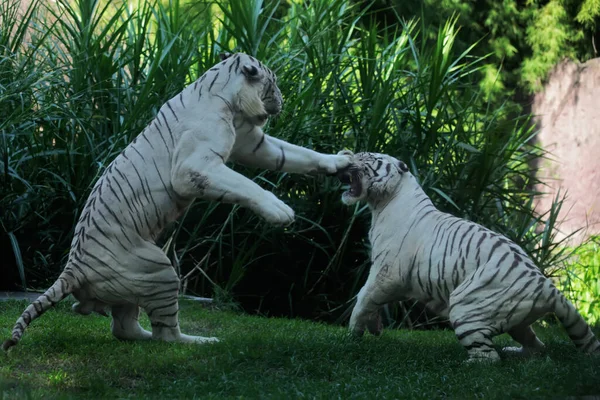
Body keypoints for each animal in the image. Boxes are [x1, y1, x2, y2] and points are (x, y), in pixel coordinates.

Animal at [1, 52, 352, 350]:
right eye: (273, 81)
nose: (282, 99)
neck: (228, 99)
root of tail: (73, 267)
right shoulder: (194, 167)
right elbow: (246, 184)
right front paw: (280, 211)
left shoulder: (252, 144)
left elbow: (294, 154)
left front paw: (340, 162)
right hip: (159, 271)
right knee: (165, 334)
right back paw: (201, 341)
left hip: (135, 286)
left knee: (124, 328)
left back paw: (148, 335)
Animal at [336, 151, 600, 362]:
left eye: (366, 156)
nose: (346, 155)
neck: (382, 203)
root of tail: (548, 287)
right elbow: (373, 303)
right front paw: (374, 329)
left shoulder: (388, 273)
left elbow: (364, 297)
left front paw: (353, 334)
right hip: (516, 319)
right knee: (537, 346)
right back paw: (515, 352)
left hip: (466, 308)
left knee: (489, 358)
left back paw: (466, 364)